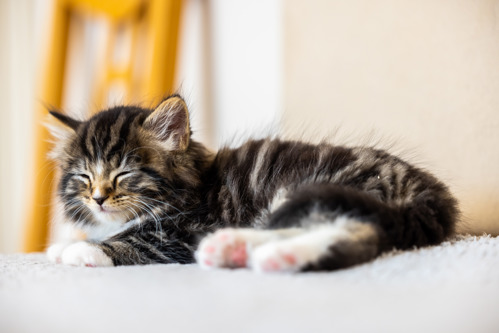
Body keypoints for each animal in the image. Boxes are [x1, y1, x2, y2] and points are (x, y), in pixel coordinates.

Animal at [47, 94, 460, 272]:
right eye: (84, 177)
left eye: (123, 174)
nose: (99, 198)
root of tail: (431, 190)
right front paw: (61, 244)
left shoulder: (183, 232)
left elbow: (132, 242)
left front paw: (81, 250)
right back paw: (233, 248)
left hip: (323, 188)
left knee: (358, 233)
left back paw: (281, 257)